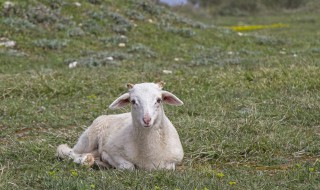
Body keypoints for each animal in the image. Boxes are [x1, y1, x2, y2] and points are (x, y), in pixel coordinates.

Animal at [56, 81, 184, 170]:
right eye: (133, 101)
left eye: (159, 100)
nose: (147, 120)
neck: (149, 153)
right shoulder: (112, 150)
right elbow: (128, 166)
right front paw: (106, 160)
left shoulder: (174, 160)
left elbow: (167, 167)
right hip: (88, 139)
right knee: (67, 151)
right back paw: (86, 160)